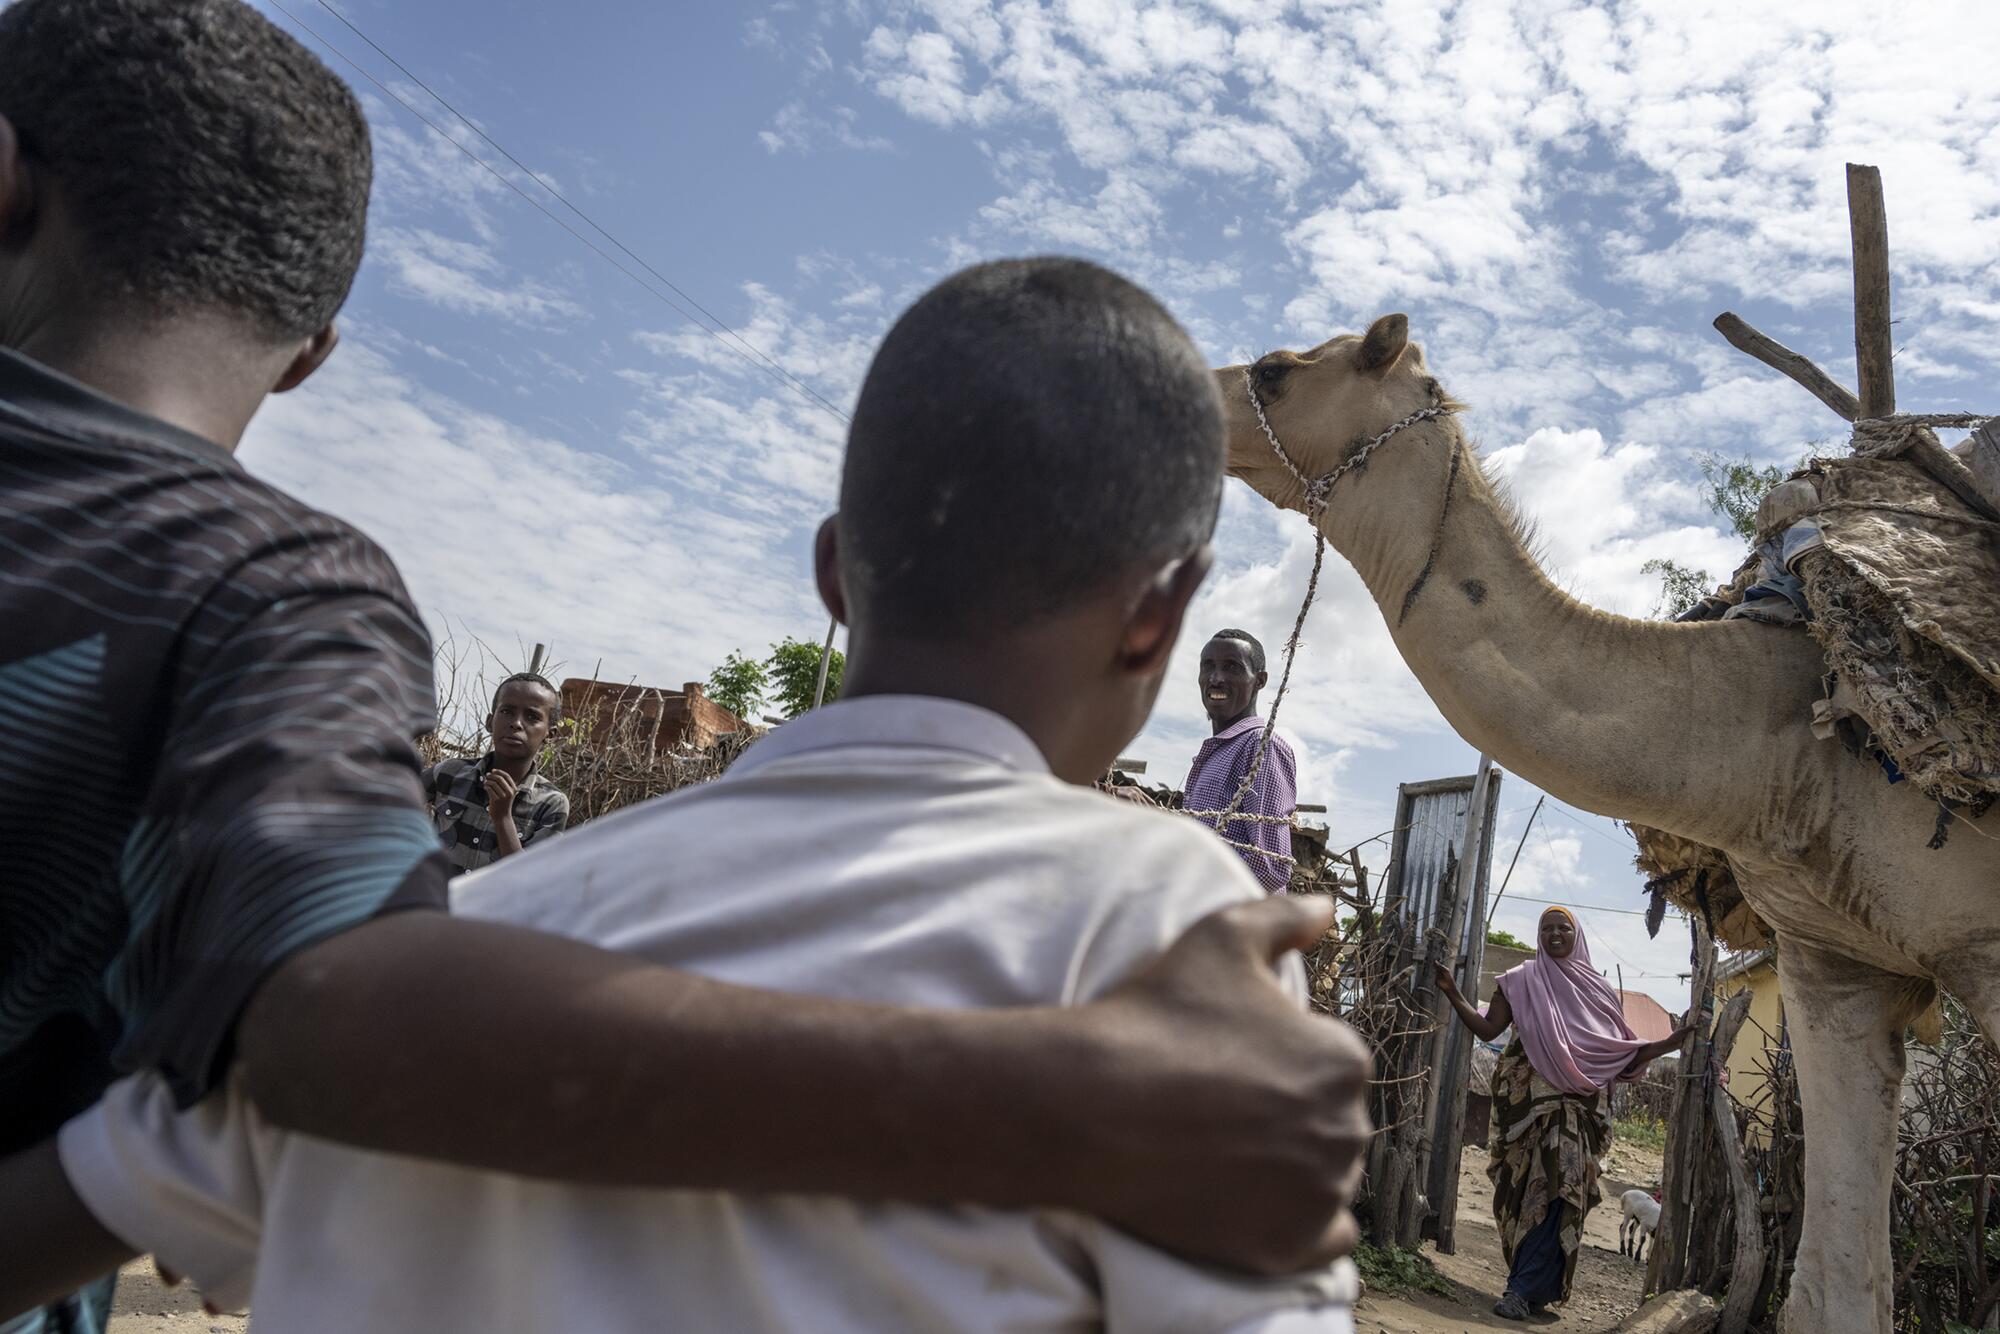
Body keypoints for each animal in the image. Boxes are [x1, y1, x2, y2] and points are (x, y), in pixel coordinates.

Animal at [1208, 316, 2000, 1334]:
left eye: (1276, 370)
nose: (1194, 386)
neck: (1784, 736)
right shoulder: (1836, 969)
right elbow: (1834, 1288)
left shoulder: (1981, 945)